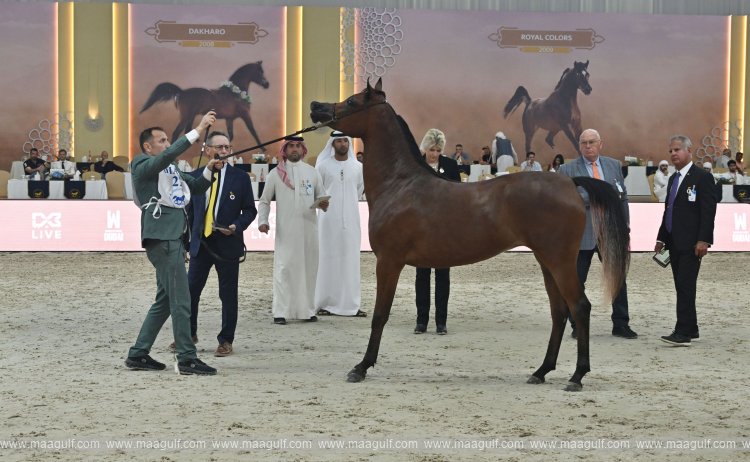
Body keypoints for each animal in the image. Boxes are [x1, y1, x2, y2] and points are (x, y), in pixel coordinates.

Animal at [140, 61, 270, 146]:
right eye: (260, 72)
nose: (267, 84)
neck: (235, 93)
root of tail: (181, 92)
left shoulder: (229, 119)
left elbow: (230, 135)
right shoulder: (245, 115)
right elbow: (253, 131)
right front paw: (263, 149)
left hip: (191, 116)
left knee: (188, 130)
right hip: (186, 116)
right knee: (177, 132)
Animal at [310, 79, 629, 391]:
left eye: (352, 101)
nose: (315, 106)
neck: (400, 185)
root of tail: (570, 182)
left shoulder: (388, 262)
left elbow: (380, 315)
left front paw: (361, 367)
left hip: (560, 261)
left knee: (580, 307)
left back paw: (577, 375)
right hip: (546, 262)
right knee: (559, 311)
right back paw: (541, 371)